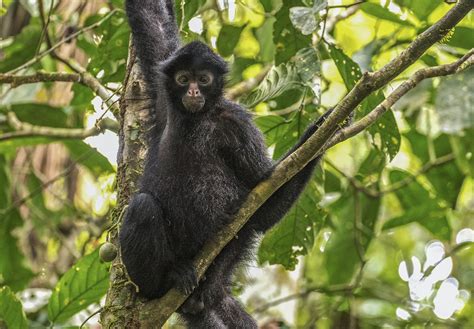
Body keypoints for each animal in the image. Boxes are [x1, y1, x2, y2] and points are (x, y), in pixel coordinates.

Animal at [118, 1, 340, 326]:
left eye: (204, 79)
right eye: (183, 78)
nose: (193, 91)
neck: (195, 120)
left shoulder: (237, 124)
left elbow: (262, 205)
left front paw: (325, 127)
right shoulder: (164, 99)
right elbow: (154, 25)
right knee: (144, 206)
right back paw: (167, 280)